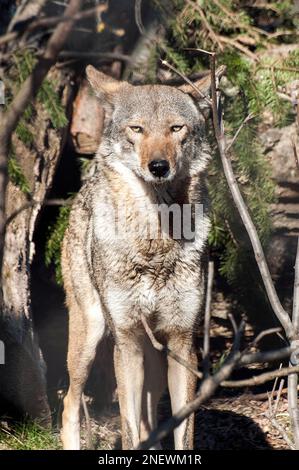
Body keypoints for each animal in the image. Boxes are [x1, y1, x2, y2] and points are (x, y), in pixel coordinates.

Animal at [61, 65, 216, 448]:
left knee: (149, 418)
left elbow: (182, 432)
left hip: (154, 360)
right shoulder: (127, 341)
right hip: (91, 336)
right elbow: (129, 428)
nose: (158, 166)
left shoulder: (181, 342)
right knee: (70, 402)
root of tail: (83, 190)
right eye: (137, 129)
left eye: (176, 128)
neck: (154, 246)